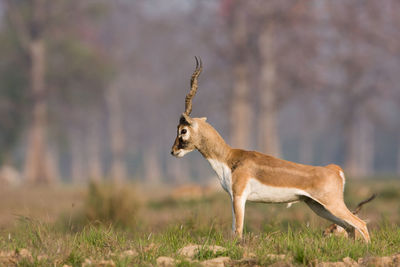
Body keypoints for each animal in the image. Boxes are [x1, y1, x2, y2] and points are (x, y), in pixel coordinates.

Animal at [170, 57, 370, 244]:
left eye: (183, 130)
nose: (173, 151)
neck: (228, 158)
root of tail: (335, 170)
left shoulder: (239, 196)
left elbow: (238, 230)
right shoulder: (233, 197)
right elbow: (235, 228)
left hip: (331, 204)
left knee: (360, 224)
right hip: (318, 206)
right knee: (349, 227)